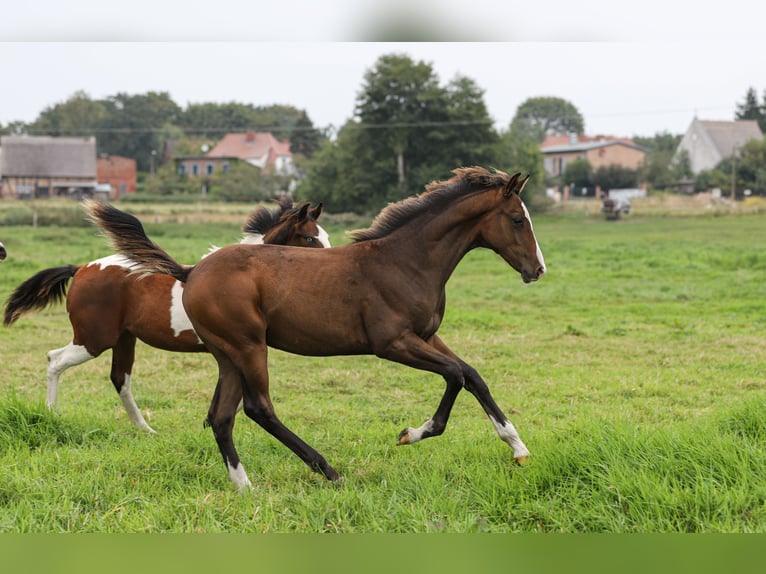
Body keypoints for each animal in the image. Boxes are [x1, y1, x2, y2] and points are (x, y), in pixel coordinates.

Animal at [3, 198, 328, 432]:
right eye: (310, 239)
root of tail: (82, 268)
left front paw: (207, 424)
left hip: (124, 339)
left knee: (120, 378)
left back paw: (145, 429)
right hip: (94, 339)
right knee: (55, 360)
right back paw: (52, 413)